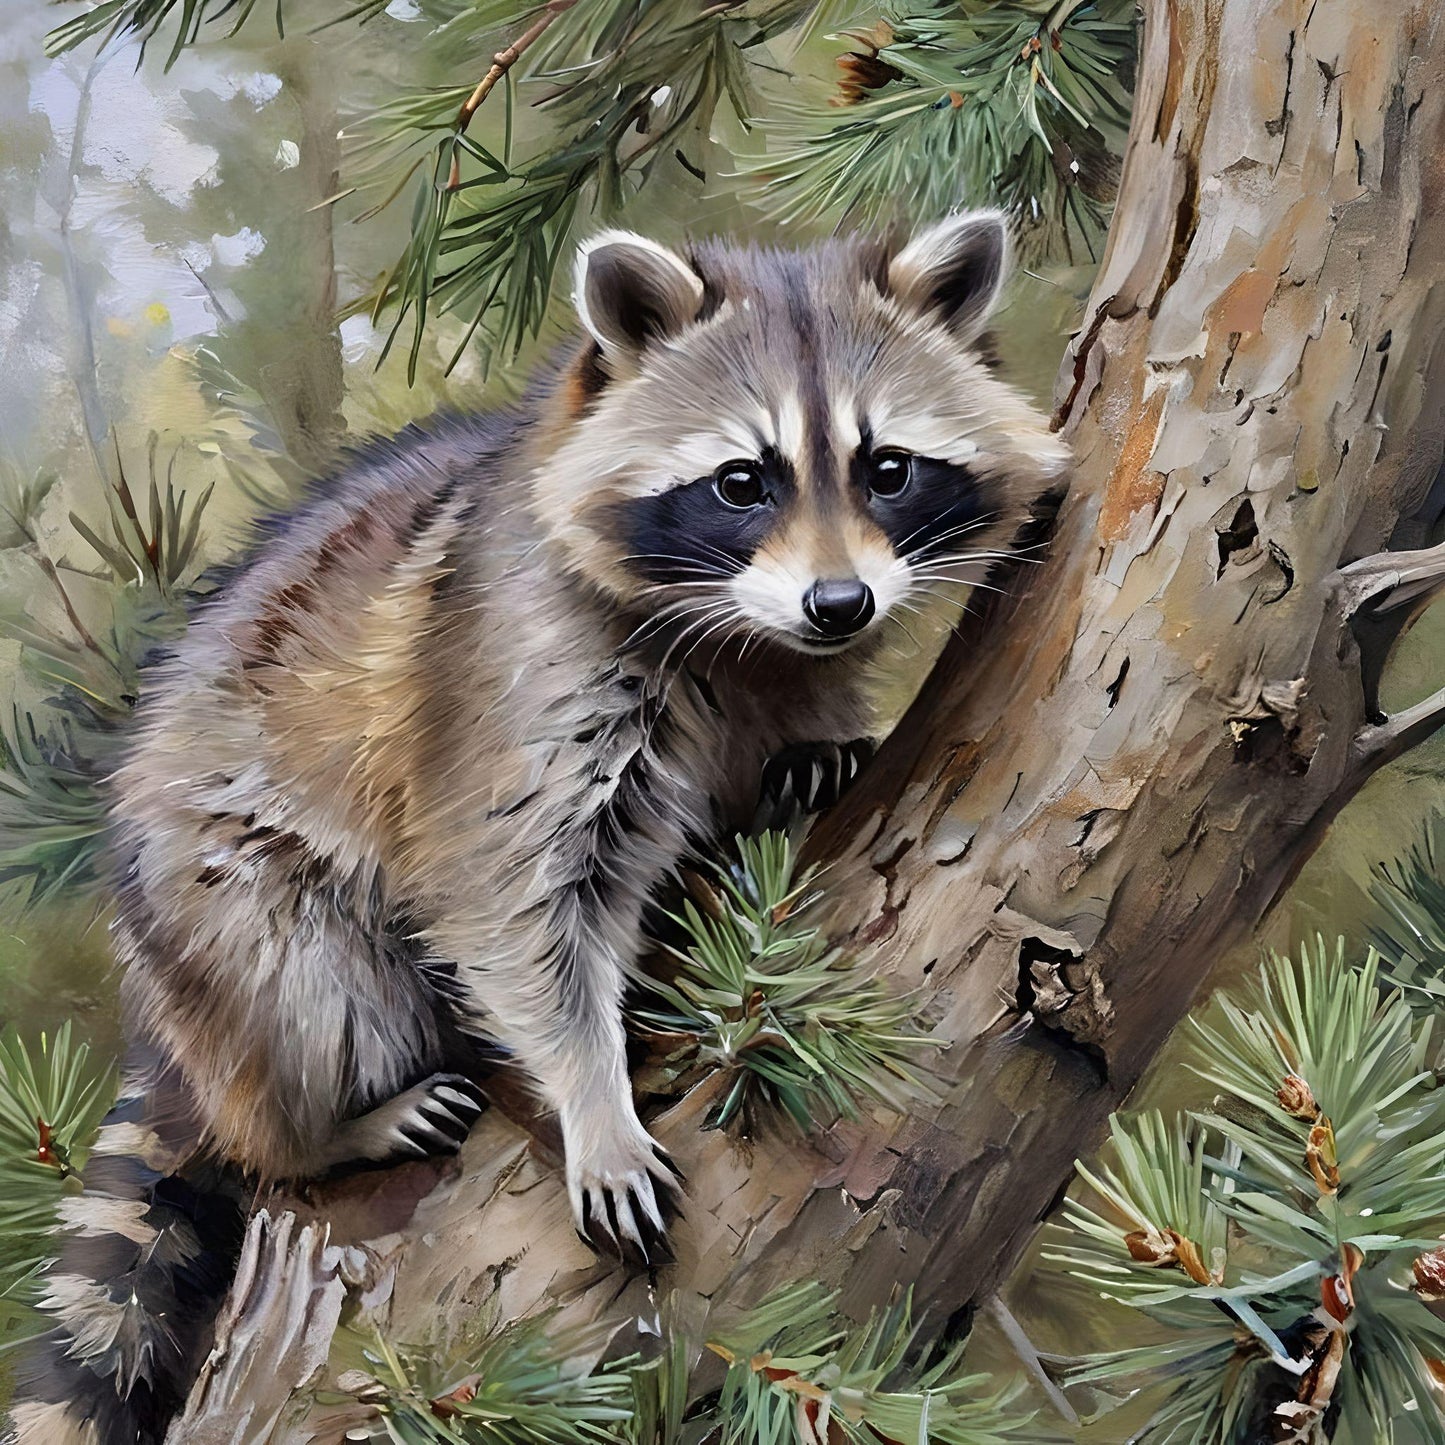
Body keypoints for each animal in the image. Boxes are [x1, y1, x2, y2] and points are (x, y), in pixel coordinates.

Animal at [9, 212, 1066, 1444]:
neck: (738, 636)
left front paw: (814, 748)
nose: (838, 604)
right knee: (303, 996)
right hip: (217, 882)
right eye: (740, 482)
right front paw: (591, 1096)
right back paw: (323, 1126)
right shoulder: (508, 682)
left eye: (887, 468)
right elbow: (512, 904)